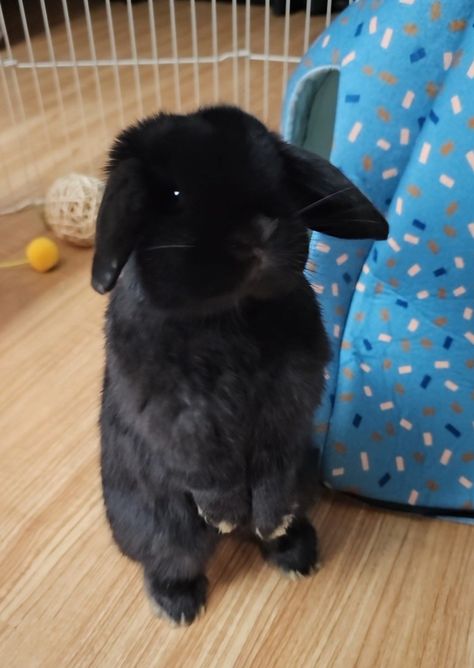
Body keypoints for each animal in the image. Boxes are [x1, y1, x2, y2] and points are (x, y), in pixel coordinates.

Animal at [92, 105, 388, 628]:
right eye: (172, 195)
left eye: (280, 174)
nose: (260, 232)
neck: (231, 316)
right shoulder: (182, 421)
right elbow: (211, 474)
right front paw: (228, 516)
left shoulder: (287, 412)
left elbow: (271, 471)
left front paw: (267, 518)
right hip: (160, 527)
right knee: (172, 559)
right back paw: (180, 606)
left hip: (305, 478)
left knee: (279, 523)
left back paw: (295, 552)